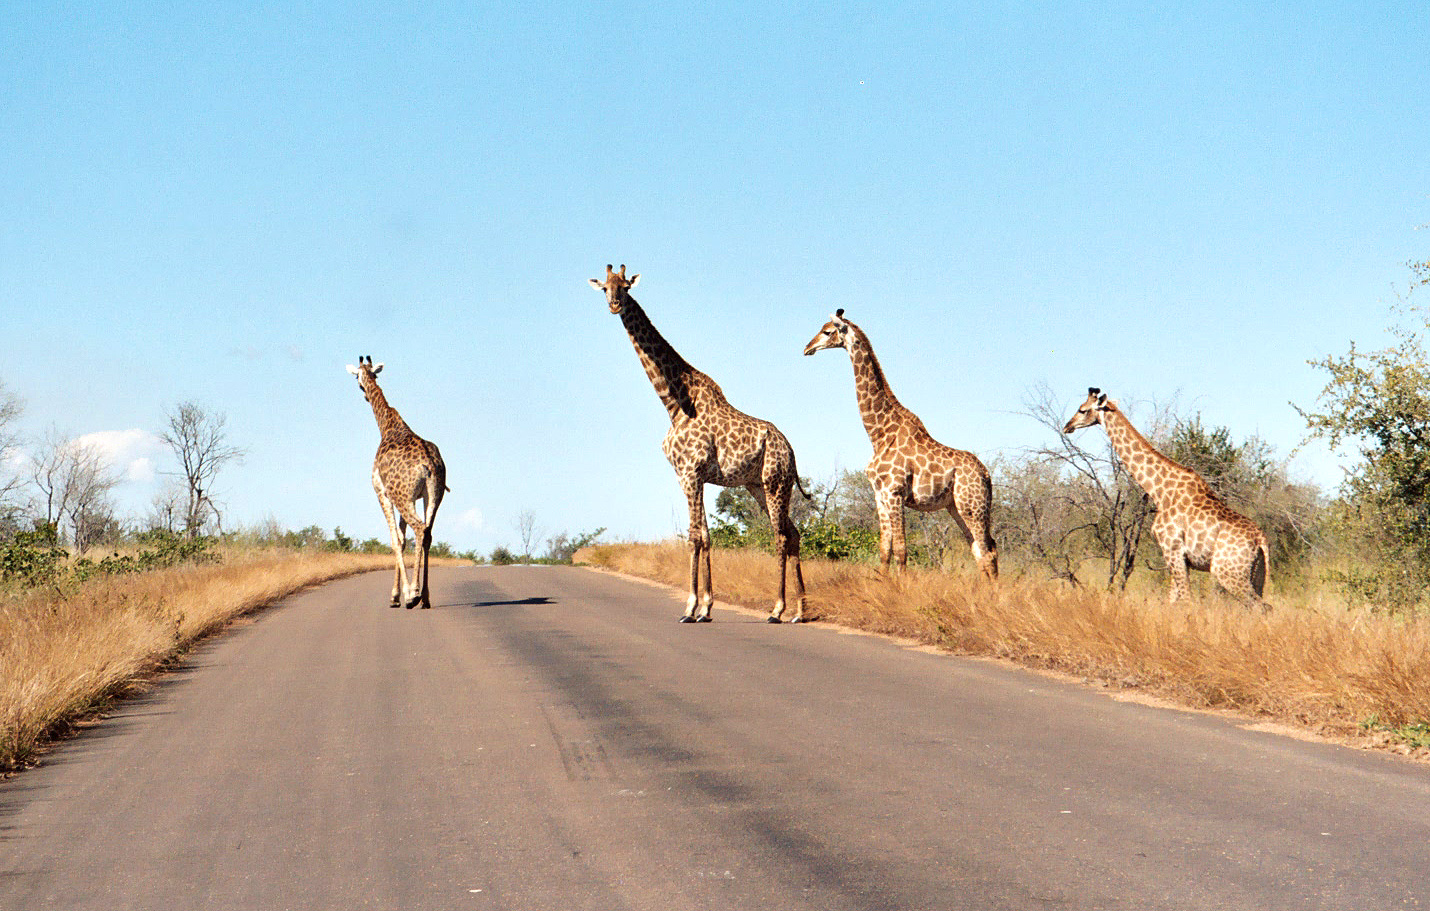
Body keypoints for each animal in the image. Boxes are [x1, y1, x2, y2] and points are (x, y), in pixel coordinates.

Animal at [346, 357, 446, 612]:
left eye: (357, 379)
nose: (364, 394)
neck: (387, 425)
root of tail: (429, 464)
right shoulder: (408, 497)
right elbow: (401, 540)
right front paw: (397, 596)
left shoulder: (382, 491)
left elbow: (395, 540)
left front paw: (400, 596)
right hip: (433, 495)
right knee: (428, 533)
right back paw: (426, 598)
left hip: (403, 498)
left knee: (419, 529)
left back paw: (414, 596)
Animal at [589, 258, 812, 620]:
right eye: (605, 288)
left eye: (626, 287)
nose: (614, 305)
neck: (673, 403)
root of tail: (791, 451)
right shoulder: (694, 476)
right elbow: (706, 536)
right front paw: (706, 607)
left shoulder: (689, 473)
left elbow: (694, 536)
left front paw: (690, 607)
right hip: (758, 485)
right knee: (792, 533)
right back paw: (800, 610)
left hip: (775, 482)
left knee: (780, 536)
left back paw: (777, 609)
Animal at [800, 306, 1000, 574]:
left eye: (827, 331)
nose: (807, 348)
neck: (878, 433)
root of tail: (986, 475)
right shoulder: (880, 496)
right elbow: (885, 551)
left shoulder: (895, 493)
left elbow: (901, 551)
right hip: (957, 507)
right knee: (981, 550)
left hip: (972, 506)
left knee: (987, 552)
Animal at [1063, 383, 1275, 603]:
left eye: (1082, 410)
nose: (1067, 426)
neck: (1159, 491)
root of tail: (1261, 540)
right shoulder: (1178, 557)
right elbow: (1172, 601)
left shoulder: (1172, 550)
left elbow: (1187, 600)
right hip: (1256, 574)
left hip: (1227, 572)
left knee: (1259, 606)